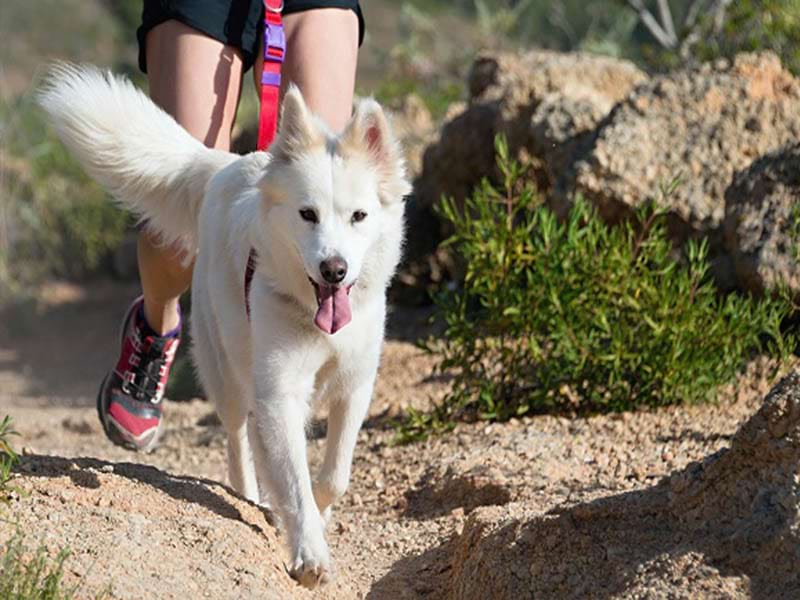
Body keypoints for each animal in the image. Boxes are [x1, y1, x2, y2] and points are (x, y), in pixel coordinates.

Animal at [39, 64, 410, 584]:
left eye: (359, 216)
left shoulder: (354, 386)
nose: (334, 270)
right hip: (227, 367)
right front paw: (309, 550)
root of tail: (225, 165)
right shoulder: (280, 389)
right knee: (237, 439)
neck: (314, 317)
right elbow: (295, 476)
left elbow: (333, 475)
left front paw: (318, 513)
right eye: (308, 214)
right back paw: (252, 495)